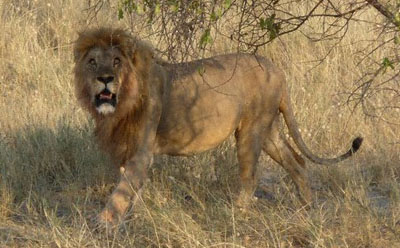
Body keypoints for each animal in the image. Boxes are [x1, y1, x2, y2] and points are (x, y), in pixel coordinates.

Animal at [72, 27, 362, 225]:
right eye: (92, 62)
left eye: (117, 61)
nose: (105, 79)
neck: (122, 104)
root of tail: (276, 69)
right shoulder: (128, 150)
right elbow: (132, 189)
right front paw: (135, 217)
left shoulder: (141, 152)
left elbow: (121, 192)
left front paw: (102, 223)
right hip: (268, 131)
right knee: (297, 161)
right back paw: (306, 207)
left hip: (250, 131)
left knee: (250, 177)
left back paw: (238, 212)